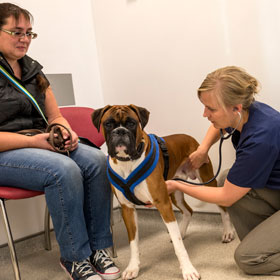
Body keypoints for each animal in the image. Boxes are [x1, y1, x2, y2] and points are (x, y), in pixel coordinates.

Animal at [92, 104, 234, 280]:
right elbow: (133, 243)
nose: (120, 131)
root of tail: (190, 138)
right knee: (188, 211)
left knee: (222, 205)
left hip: (207, 182)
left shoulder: (163, 203)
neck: (128, 161)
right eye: (108, 124)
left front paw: (188, 270)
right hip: (175, 191)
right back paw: (181, 231)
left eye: (131, 123)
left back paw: (228, 232)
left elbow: (179, 247)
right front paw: (133, 267)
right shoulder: (128, 209)